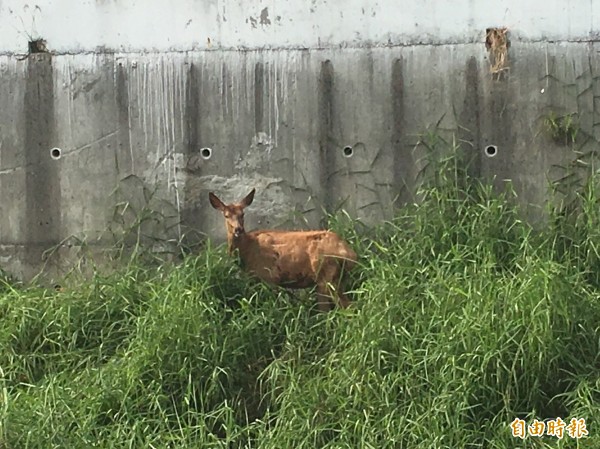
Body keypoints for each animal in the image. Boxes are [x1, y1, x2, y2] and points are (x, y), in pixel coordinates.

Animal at [209, 187, 356, 310]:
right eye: (226, 215)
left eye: (242, 214)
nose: (238, 229)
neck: (247, 248)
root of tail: (350, 253)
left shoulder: (269, 276)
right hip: (337, 279)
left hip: (325, 275)